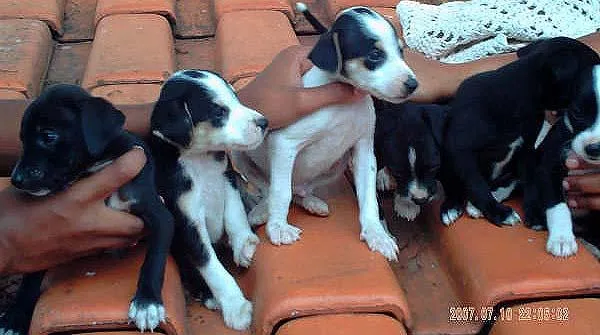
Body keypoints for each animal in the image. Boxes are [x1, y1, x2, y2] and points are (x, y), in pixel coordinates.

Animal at [2, 83, 175, 334]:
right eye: (22, 139)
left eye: (48, 136)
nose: (16, 180)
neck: (95, 168)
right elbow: (32, 275)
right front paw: (15, 316)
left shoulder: (160, 215)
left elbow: (155, 259)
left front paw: (147, 303)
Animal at [148, 69, 268, 330]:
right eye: (219, 112)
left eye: (236, 98)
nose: (264, 123)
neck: (200, 160)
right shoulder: (187, 222)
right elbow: (212, 268)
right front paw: (236, 307)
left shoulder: (228, 178)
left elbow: (235, 215)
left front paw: (244, 243)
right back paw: (208, 295)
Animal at [232, 3, 420, 262]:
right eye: (374, 55)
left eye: (401, 52)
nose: (413, 85)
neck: (345, 105)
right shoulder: (284, 143)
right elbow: (280, 192)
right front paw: (278, 227)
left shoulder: (364, 151)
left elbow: (369, 198)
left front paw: (376, 234)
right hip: (240, 156)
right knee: (269, 188)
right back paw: (262, 211)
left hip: (338, 165)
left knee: (300, 191)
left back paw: (312, 202)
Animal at [440, 38, 600, 228]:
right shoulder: (462, 152)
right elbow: (477, 185)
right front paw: (499, 213)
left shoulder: (526, 149)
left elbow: (530, 181)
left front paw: (534, 213)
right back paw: (451, 207)